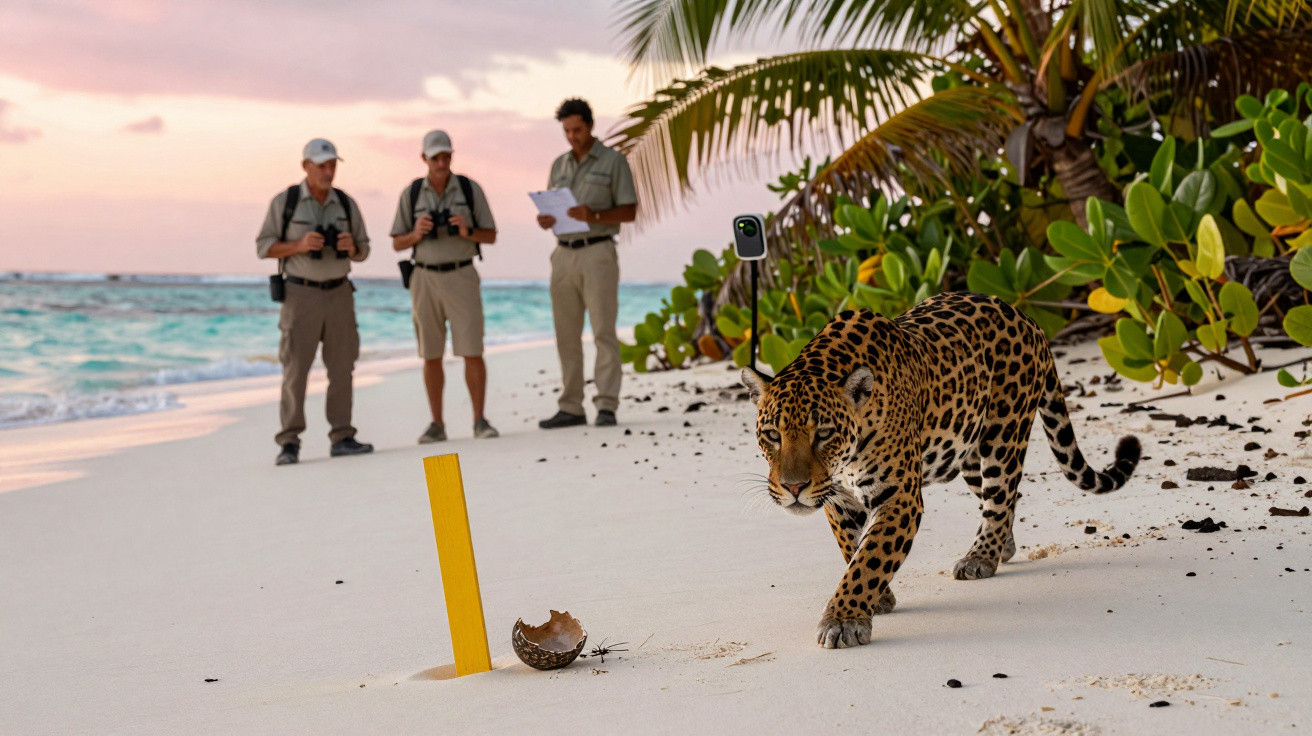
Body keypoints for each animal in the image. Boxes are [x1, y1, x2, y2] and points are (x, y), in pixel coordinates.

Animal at [741, 291, 1140, 649]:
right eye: (772, 435)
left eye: (823, 434)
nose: (794, 488)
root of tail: (1026, 317)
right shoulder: (839, 501)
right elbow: (851, 550)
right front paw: (877, 599)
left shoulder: (900, 498)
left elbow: (869, 559)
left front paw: (843, 619)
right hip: (966, 450)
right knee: (1003, 496)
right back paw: (1002, 547)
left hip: (1003, 434)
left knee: (1001, 496)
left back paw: (981, 557)